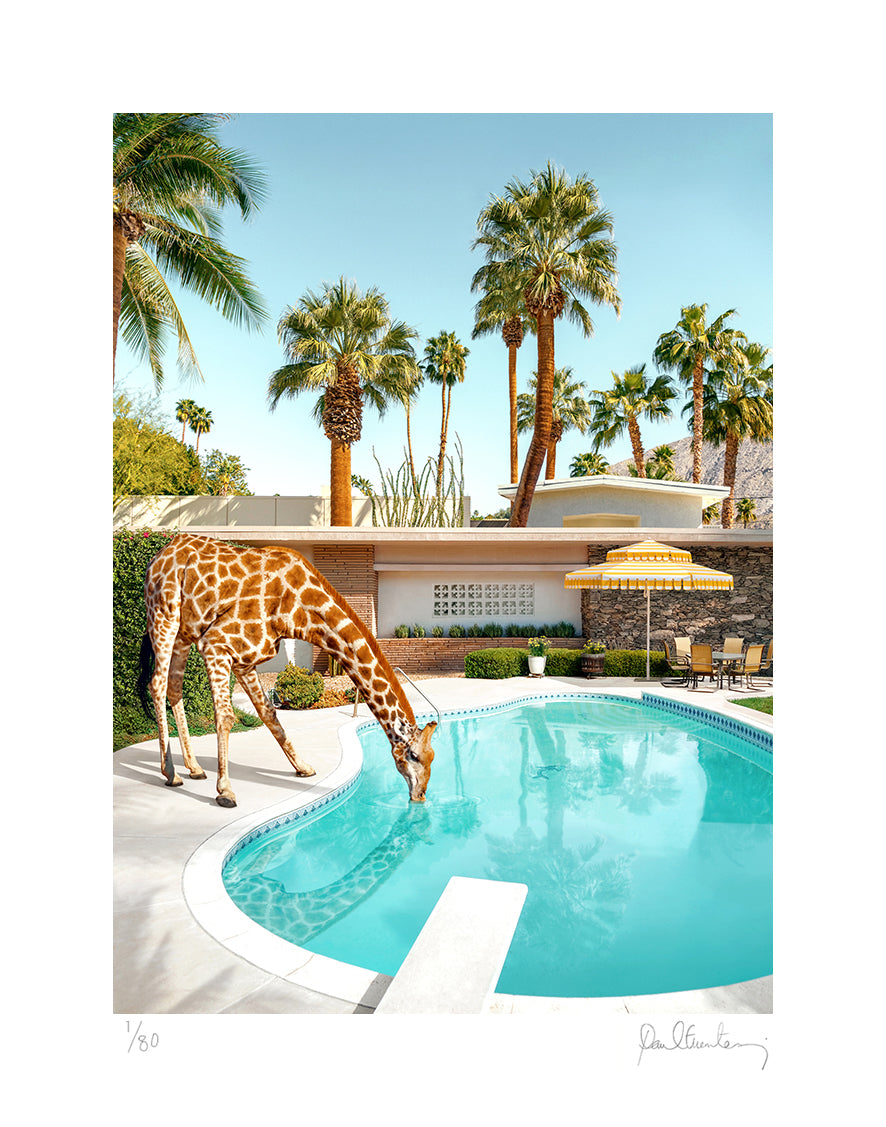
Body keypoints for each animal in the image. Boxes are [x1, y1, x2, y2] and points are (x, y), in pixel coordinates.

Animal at [138, 533, 437, 807]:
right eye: (413, 755)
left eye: (432, 755)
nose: (421, 795)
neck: (300, 612)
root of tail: (156, 557)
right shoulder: (216, 643)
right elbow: (225, 716)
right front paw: (225, 791)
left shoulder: (245, 659)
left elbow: (269, 714)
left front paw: (303, 767)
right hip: (163, 616)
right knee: (157, 684)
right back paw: (171, 773)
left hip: (184, 633)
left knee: (174, 688)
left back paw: (195, 768)